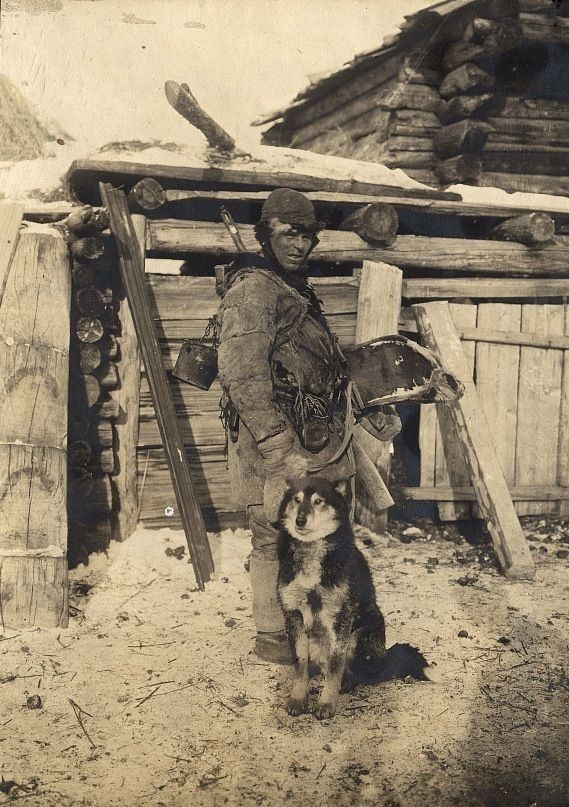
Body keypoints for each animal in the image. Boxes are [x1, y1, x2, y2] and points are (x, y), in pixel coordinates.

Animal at [276, 474, 430, 720]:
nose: (300, 520)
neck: (311, 549)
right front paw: (298, 698)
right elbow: (300, 665)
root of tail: (386, 658)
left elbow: (335, 667)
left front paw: (326, 703)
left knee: (361, 674)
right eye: (296, 499)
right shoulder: (294, 615)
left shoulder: (340, 618)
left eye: (318, 501)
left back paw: (348, 683)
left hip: (359, 638)